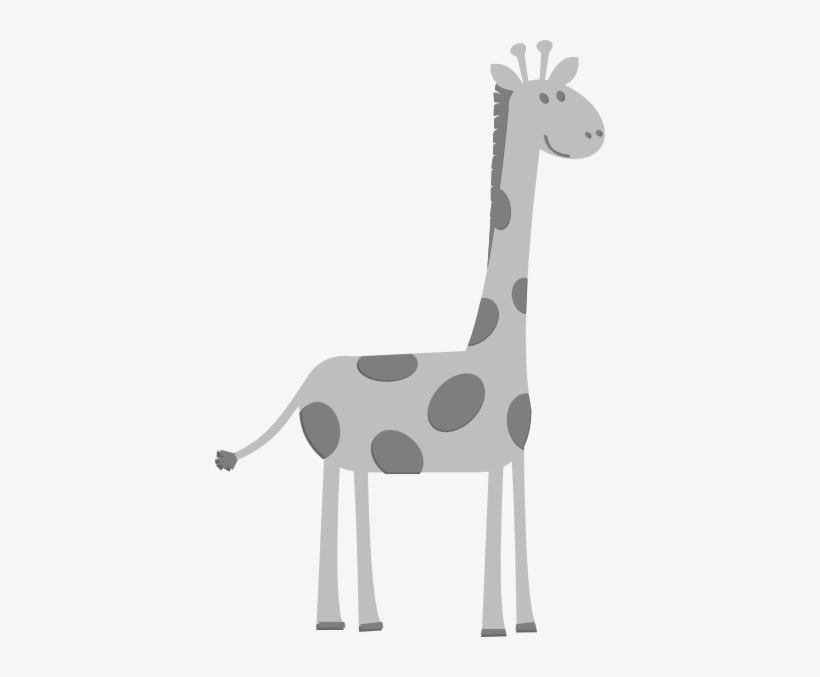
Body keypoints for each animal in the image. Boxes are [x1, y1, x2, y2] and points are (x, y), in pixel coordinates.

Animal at [215, 40, 605, 636]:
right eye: (551, 96)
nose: (598, 133)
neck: (494, 350)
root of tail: (305, 382)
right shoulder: (491, 457)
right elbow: (493, 529)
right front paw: (492, 628)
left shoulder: (515, 456)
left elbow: (517, 524)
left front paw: (528, 624)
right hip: (337, 450)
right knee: (331, 503)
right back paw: (334, 621)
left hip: (356, 453)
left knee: (351, 498)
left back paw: (368, 621)